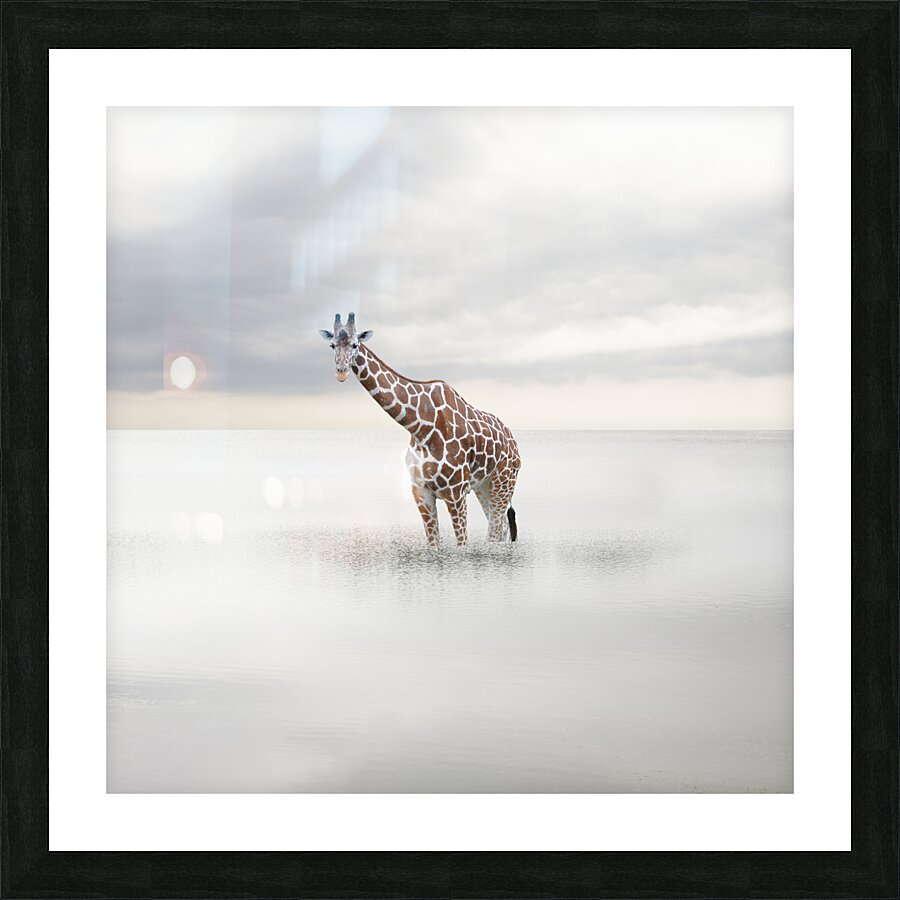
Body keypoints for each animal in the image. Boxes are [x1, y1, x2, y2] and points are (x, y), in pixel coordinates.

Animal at [319, 313, 521, 547]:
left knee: (496, 529)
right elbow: (433, 544)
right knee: (501, 527)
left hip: (503, 481)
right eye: (332, 345)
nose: (341, 373)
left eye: (355, 344)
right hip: (484, 486)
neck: (419, 428)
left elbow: (462, 543)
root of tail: (514, 442)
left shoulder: (456, 493)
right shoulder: (421, 492)